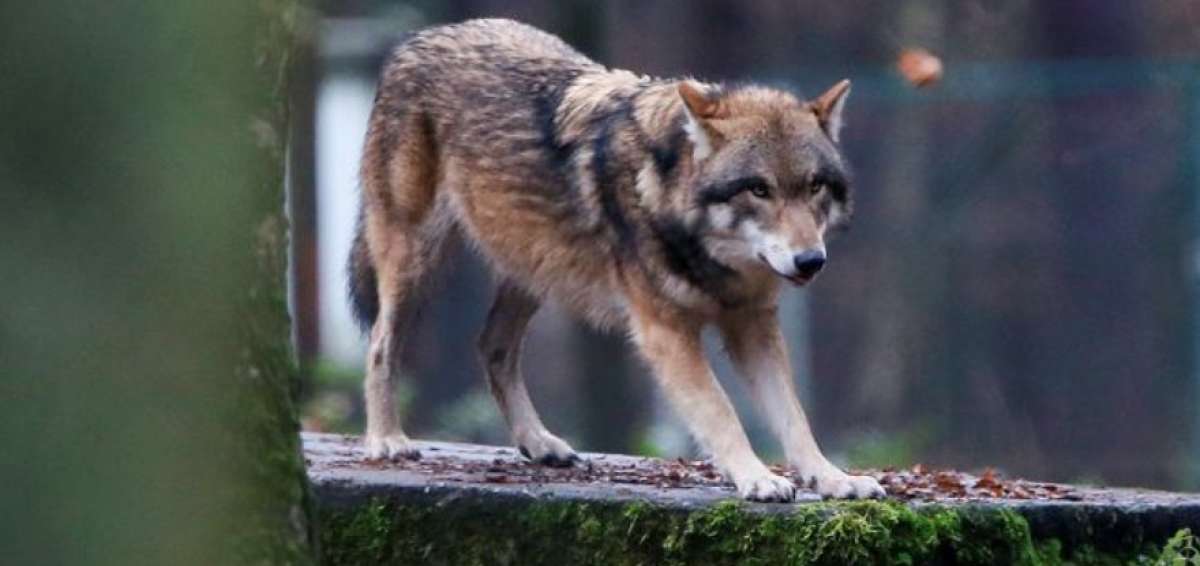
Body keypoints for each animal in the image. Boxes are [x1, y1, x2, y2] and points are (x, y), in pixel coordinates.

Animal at [348, 18, 883, 501]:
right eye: (759, 189)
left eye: (814, 187)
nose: (811, 261)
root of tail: (418, 39)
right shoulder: (666, 332)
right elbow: (721, 410)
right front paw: (757, 478)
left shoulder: (753, 325)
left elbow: (794, 417)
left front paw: (833, 478)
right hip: (417, 262)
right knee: (380, 345)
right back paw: (387, 440)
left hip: (536, 269)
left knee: (491, 347)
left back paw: (539, 443)